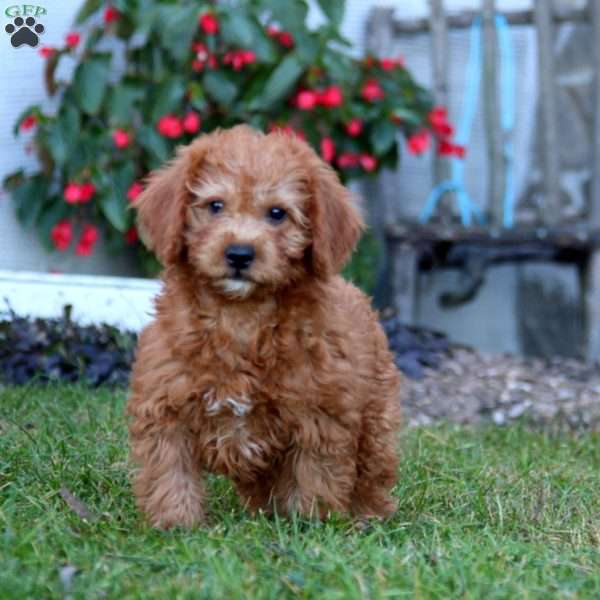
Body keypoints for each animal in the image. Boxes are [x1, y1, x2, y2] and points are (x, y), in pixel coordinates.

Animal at [125, 124, 404, 528]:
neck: (241, 314)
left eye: (277, 213)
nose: (239, 254)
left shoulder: (320, 415)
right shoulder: (165, 404)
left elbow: (313, 476)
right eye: (215, 206)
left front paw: (309, 524)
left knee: (373, 472)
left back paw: (368, 515)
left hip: (376, 417)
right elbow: (170, 471)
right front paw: (176, 523)